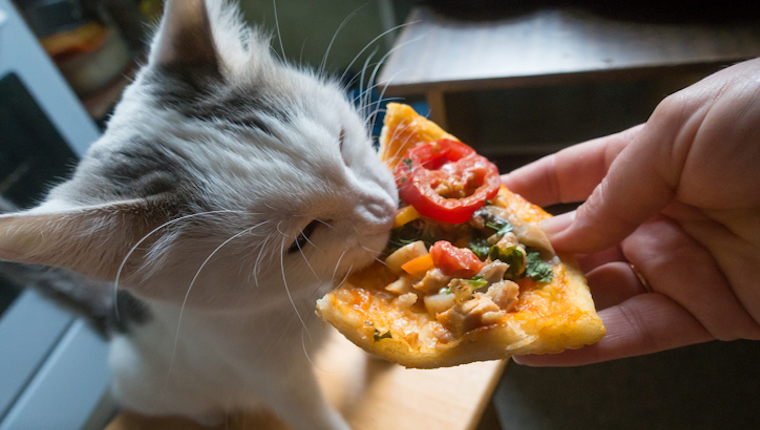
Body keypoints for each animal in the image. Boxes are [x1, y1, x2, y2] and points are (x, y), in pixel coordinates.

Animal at [0, 1, 400, 428]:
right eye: (304, 236)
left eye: (341, 141)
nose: (385, 210)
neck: (293, 298)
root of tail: (115, 319)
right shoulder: (272, 375)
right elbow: (313, 415)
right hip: (147, 383)